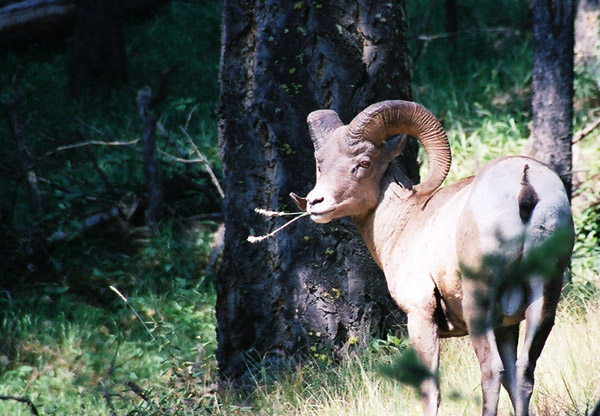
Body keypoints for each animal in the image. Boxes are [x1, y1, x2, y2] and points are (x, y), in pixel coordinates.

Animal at [290, 101, 576, 416]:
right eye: (320, 163)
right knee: (523, 374)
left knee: (492, 371)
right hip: (544, 296)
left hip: (479, 302)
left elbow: (430, 390)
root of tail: (525, 183)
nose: (317, 203)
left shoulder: (420, 315)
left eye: (364, 163)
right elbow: (514, 382)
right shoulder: (508, 326)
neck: (406, 221)